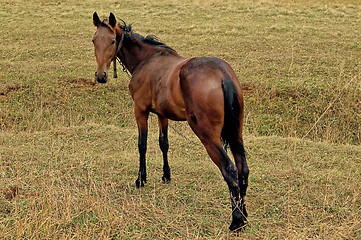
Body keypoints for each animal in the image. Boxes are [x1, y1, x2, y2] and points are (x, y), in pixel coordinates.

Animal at [91, 12, 249, 232]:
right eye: (94, 40)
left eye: (112, 41)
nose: (100, 75)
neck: (147, 60)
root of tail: (222, 74)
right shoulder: (162, 114)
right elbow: (163, 143)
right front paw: (166, 175)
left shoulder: (140, 110)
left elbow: (142, 144)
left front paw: (141, 178)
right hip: (236, 134)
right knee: (243, 169)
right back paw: (244, 214)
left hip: (209, 137)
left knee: (230, 171)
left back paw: (236, 220)